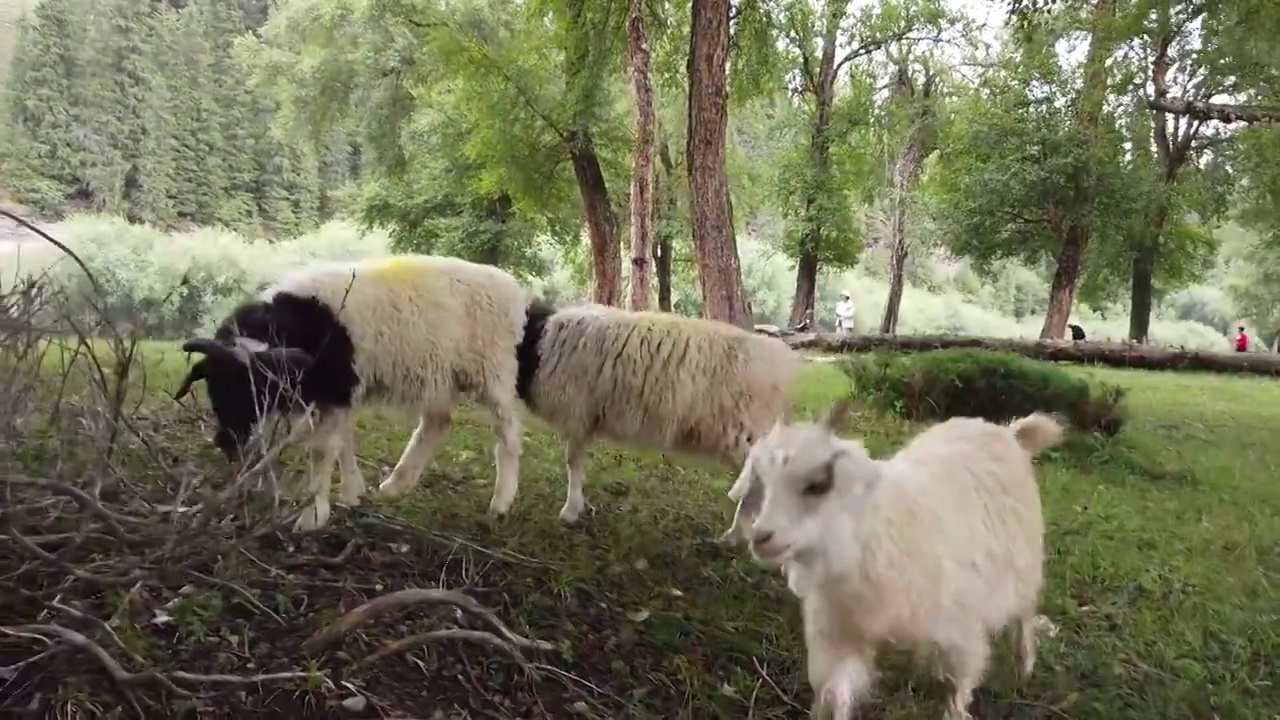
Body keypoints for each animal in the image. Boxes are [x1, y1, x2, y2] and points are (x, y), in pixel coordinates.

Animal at [171, 254, 529, 530]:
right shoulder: (332, 393)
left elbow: (322, 449)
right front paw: (352, 494)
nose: (227, 443)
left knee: (508, 434)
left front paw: (313, 516)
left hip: (495, 371)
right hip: (438, 375)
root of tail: (514, 291)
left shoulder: (337, 388)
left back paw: (501, 502)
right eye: (214, 385)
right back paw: (395, 486)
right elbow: (342, 441)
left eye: (254, 390)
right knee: (437, 424)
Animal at [737, 397, 1064, 717]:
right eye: (763, 483)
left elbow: (957, 691)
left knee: (1025, 613)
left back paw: (1025, 666)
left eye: (818, 484)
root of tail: (1006, 432)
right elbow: (835, 694)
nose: (760, 539)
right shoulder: (840, 637)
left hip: (1025, 564)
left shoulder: (961, 634)